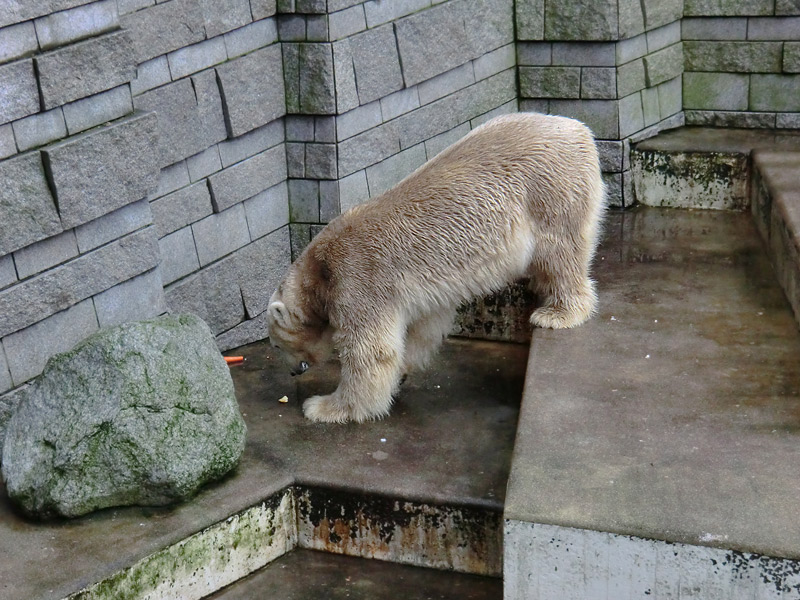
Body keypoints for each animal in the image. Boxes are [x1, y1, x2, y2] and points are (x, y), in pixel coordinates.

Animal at [266, 112, 604, 422]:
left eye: (276, 344)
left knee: (559, 254)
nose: (293, 373)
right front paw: (401, 373)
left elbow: (370, 350)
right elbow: (422, 328)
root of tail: (579, 129)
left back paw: (557, 313)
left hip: (548, 190)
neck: (319, 271)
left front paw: (324, 407)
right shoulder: (416, 294)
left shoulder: (356, 279)